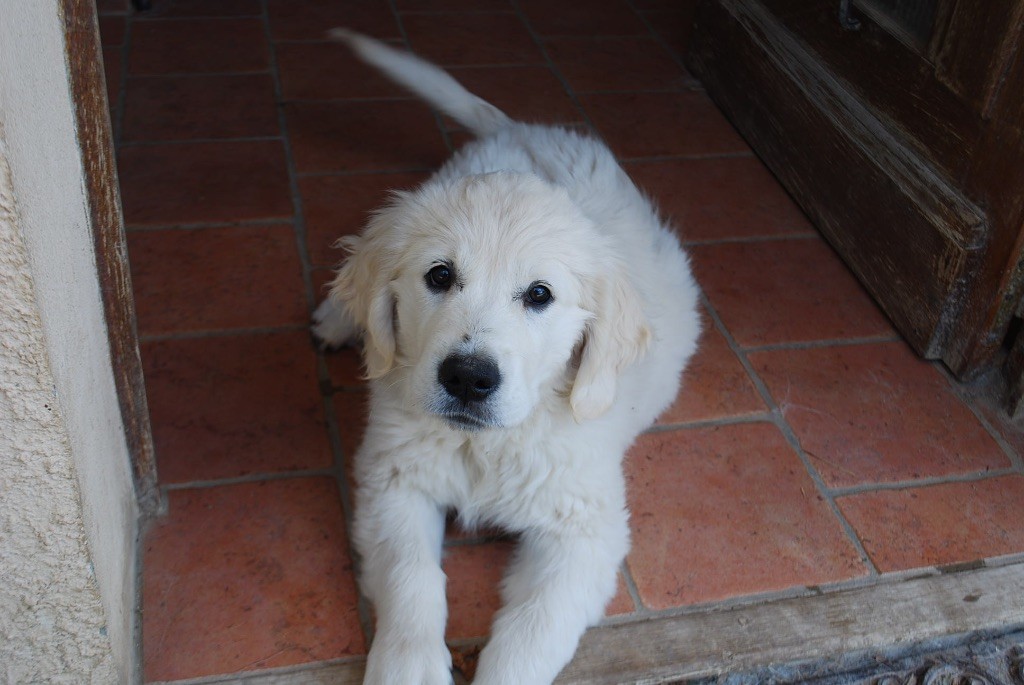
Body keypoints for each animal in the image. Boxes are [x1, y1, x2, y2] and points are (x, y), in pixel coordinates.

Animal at [307, 30, 700, 683]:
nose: (468, 378)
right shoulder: (394, 479)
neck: (487, 445)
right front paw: (408, 665)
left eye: (539, 295)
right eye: (439, 276)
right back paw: (338, 317)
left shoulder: (584, 527)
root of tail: (522, 129)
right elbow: (412, 577)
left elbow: (532, 630)